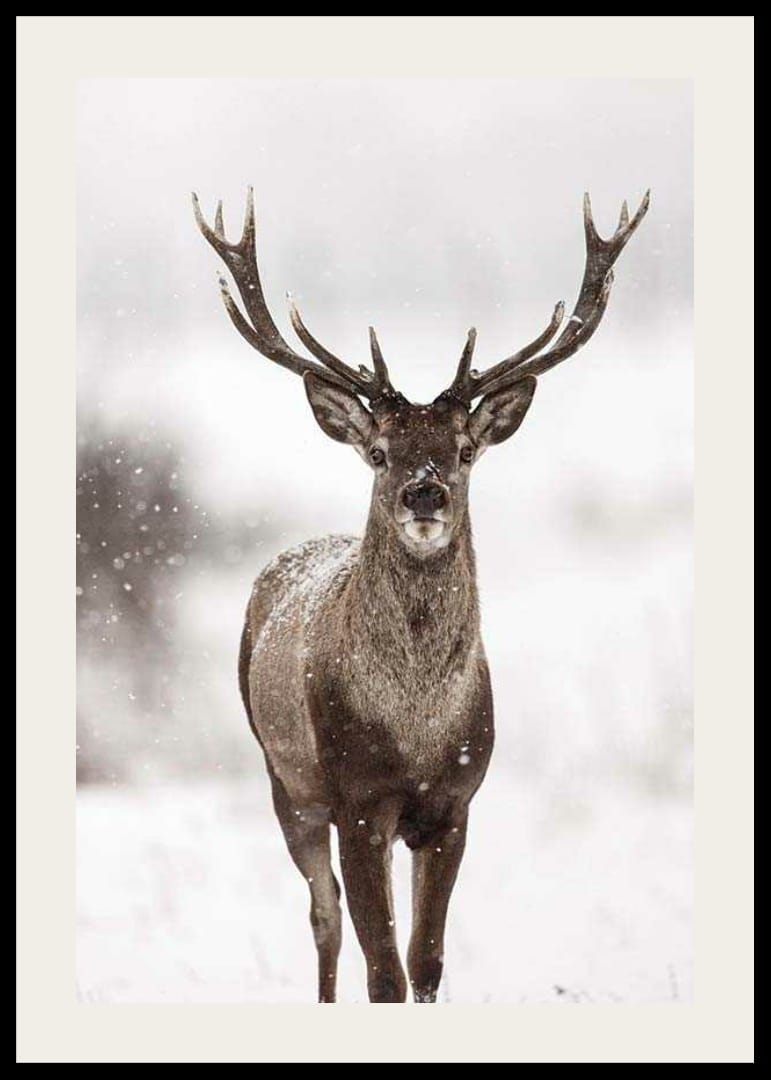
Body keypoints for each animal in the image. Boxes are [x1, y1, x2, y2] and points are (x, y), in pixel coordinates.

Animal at [192, 186, 649, 1003]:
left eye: (464, 450)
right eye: (379, 452)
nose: (425, 492)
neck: (415, 728)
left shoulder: (455, 803)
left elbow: (426, 961)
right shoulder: (356, 800)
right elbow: (383, 970)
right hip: (284, 777)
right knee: (323, 917)